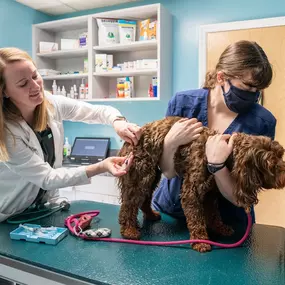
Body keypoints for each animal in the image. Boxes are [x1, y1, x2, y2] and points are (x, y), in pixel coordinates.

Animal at [116, 115, 284, 251]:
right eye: (272, 165)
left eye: (281, 155)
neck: (226, 154)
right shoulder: (192, 192)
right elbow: (196, 217)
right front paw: (201, 240)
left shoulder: (210, 193)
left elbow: (214, 213)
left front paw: (219, 227)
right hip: (140, 175)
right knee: (129, 204)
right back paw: (129, 230)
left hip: (151, 176)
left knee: (144, 199)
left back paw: (150, 215)